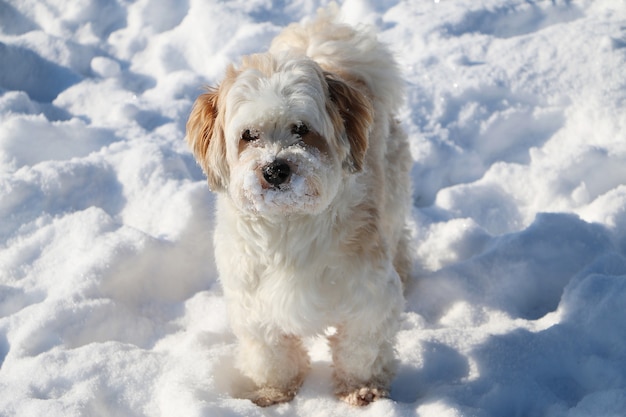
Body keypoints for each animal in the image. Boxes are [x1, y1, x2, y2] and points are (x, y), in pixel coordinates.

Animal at [183, 7, 412, 406]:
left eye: (302, 129)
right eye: (249, 135)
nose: (276, 169)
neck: (288, 226)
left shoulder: (369, 296)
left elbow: (361, 348)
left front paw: (362, 387)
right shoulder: (253, 302)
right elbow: (270, 354)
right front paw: (272, 390)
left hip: (394, 201)